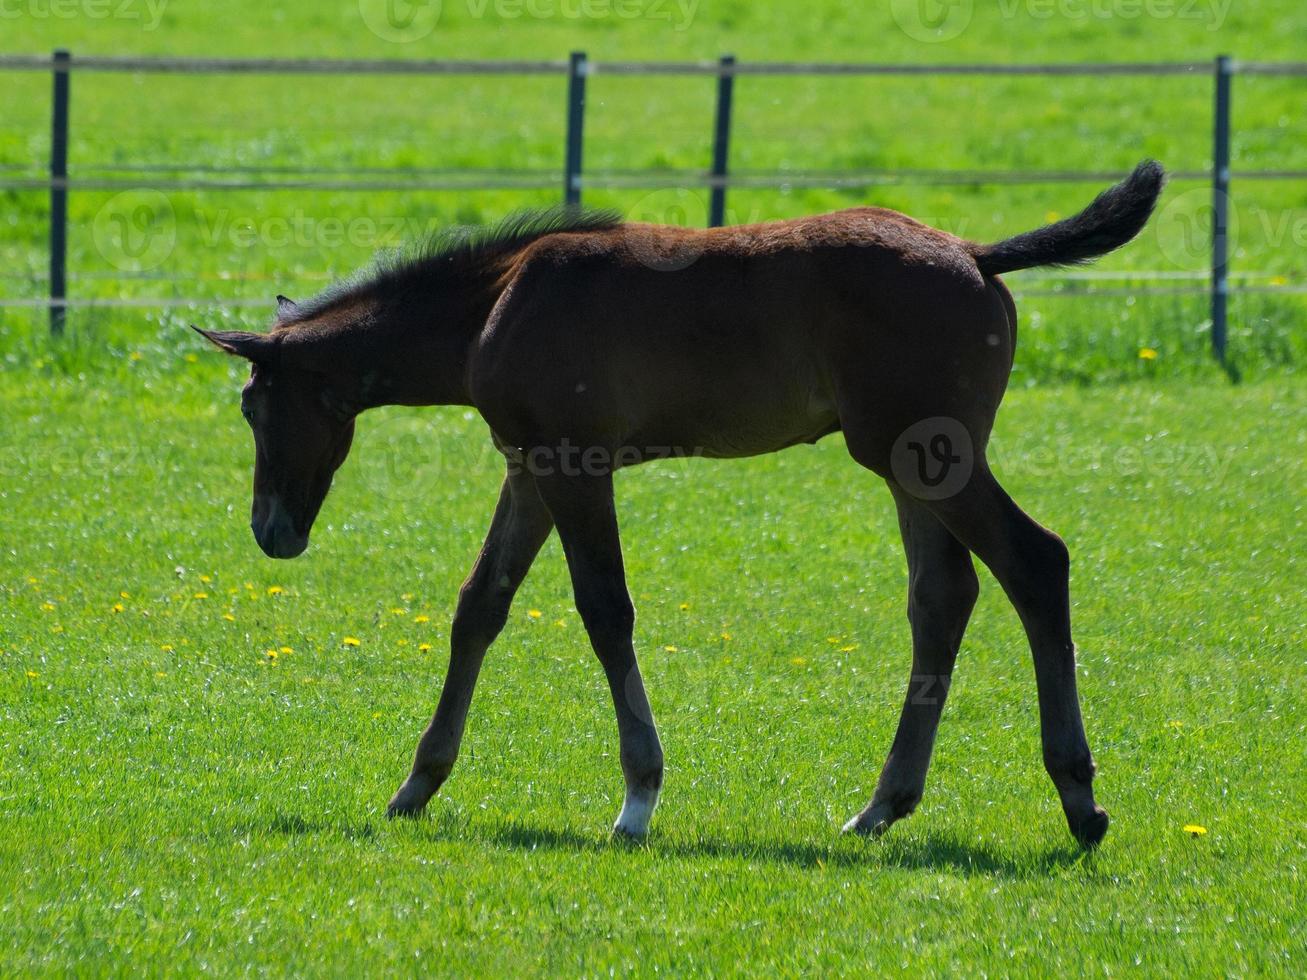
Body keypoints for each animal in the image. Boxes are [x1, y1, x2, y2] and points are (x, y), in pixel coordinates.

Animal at [196, 159, 1165, 846]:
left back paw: (1078, 800)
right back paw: (881, 805)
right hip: (909, 464)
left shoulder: (577, 465)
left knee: (1034, 562)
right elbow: (481, 606)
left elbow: (604, 611)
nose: (271, 532)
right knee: (942, 597)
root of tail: (973, 253)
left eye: (252, 407)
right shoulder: (528, 468)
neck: (495, 304)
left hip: (923, 453)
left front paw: (637, 798)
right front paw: (418, 784)